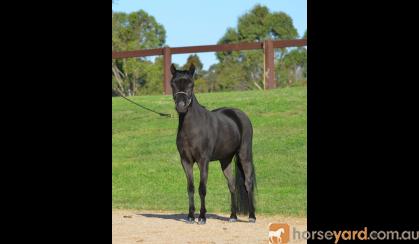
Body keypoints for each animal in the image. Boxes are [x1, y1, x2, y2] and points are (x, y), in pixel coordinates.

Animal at [170, 63, 256, 224]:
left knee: (248, 183)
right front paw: (190, 216)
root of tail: (240, 115)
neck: (193, 127)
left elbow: (202, 188)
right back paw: (233, 216)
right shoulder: (186, 161)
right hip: (225, 160)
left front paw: (202, 217)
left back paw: (252, 216)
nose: (181, 106)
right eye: (173, 84)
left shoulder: (203, 161)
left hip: (244, 155)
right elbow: (190, 187)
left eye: (191, 84)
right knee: (232, 185)